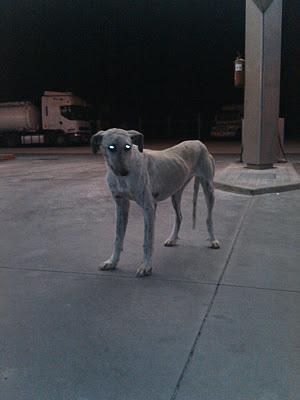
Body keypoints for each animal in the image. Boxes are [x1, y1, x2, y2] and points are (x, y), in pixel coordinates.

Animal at [91, 129, 220, 278]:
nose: (124, 172)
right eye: (111, 147)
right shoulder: (121, 206)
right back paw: (172, 239)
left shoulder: (149, 208)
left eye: (128, 147)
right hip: (176, 193)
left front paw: (146, 266)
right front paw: (112, 262)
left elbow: (147, 240)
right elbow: (118, 238)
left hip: (208, 189)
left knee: (208, 218)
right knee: (179, 216)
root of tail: (198, 142)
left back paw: (213, 240)